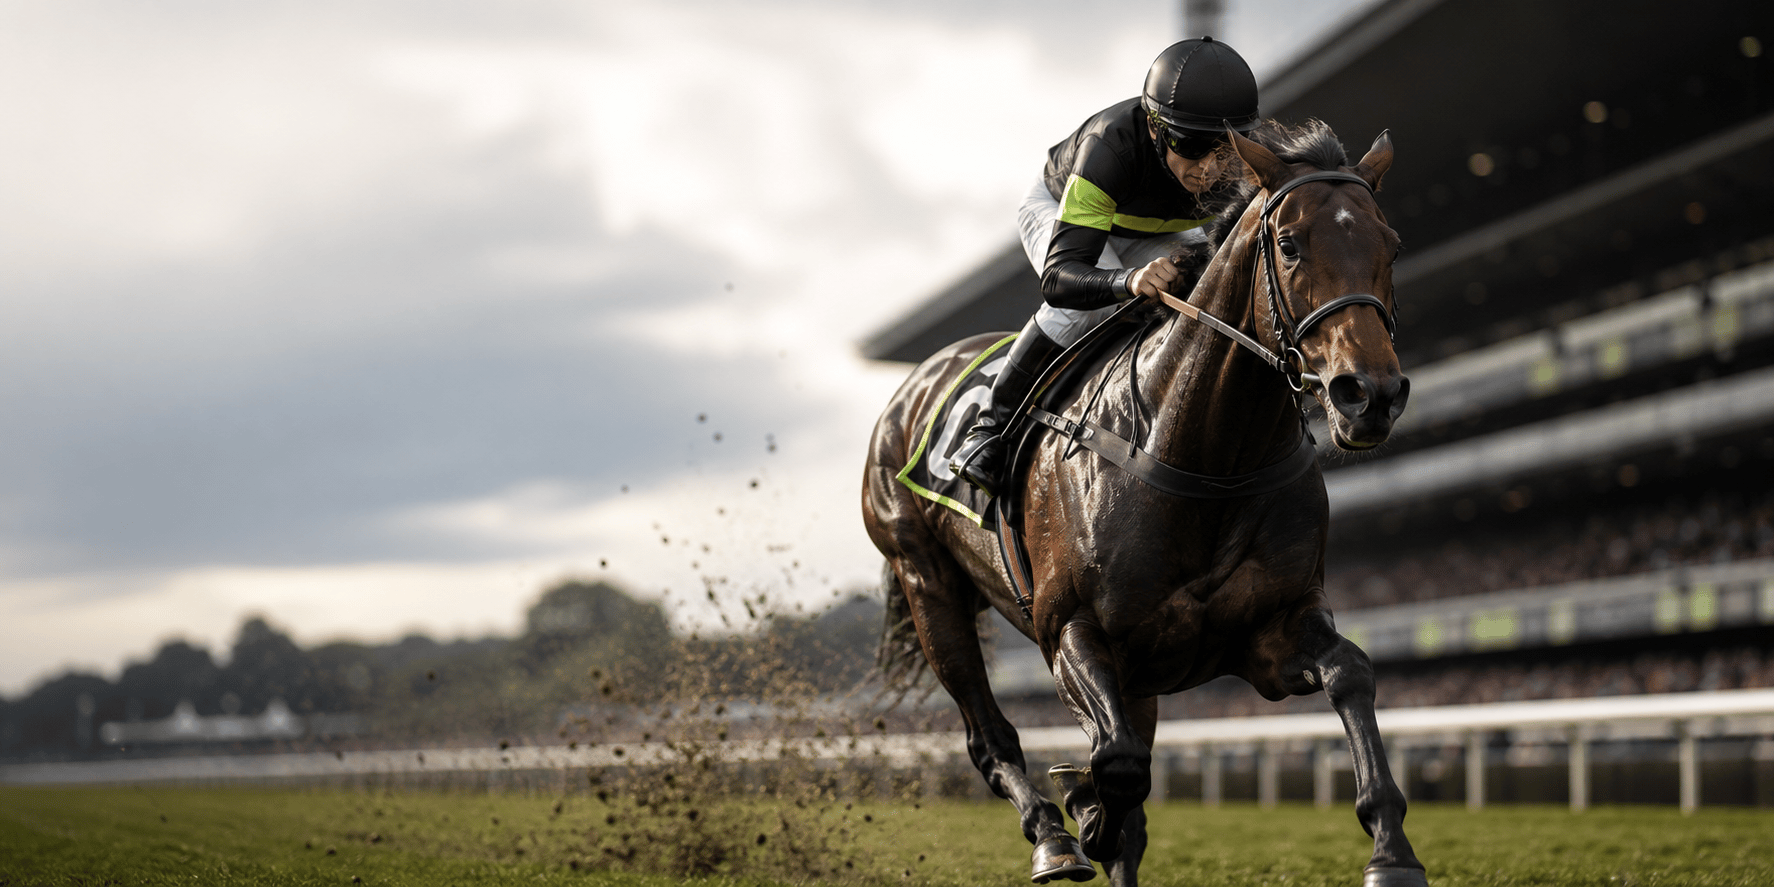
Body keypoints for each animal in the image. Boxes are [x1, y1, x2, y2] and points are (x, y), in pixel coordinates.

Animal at [861, 120, 1425, 887]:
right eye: (1289, 243)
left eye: (1389, 244)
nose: (1369, 394)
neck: (1204, 454)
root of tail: (914, 384)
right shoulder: (1070, 628)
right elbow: (1118, 764)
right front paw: (1084, 811)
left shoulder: (1268, 633)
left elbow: (1352, 673)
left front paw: (1391, 849)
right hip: (928, 584)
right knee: (990, 736)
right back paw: (1053, 837)